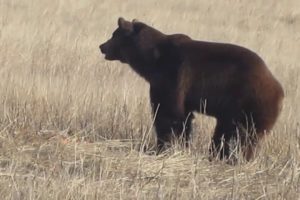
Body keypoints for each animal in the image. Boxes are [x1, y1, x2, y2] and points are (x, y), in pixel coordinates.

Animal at [100, 17, 284, 161]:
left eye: (113, 35)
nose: (102, 46)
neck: (152, 59)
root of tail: (279, 89)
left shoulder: (172, 77)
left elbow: (168, 113)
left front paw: (162, 147)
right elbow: (184, 118)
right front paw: (181, 146)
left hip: (251, 103)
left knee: (247, 136)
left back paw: (239, 159)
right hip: (234, 110)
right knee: (226, 131)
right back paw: (218, 156)